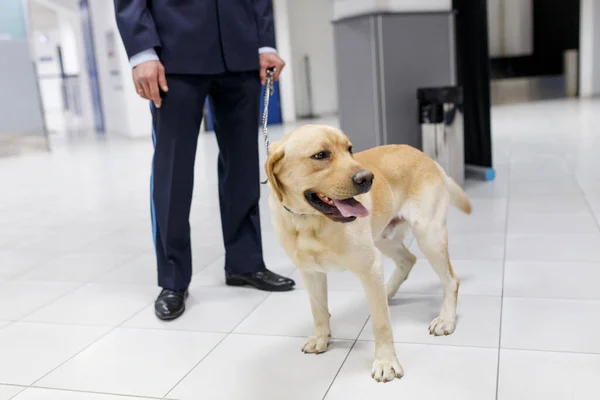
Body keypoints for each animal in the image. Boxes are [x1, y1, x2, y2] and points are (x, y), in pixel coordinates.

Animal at [264, 124, 472, 382]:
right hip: (383, 238)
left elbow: (381, 324)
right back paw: (387, 290)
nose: (367, 178)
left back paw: (445, 319)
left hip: (428, 236)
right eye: (320, 155)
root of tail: (426, 157)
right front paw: (321, 338)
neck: (309, 222)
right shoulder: (311, 272)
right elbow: (318, 309)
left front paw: (386, 362)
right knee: (408, 260)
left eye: (349, 149)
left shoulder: (369, 265)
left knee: (451, 280)